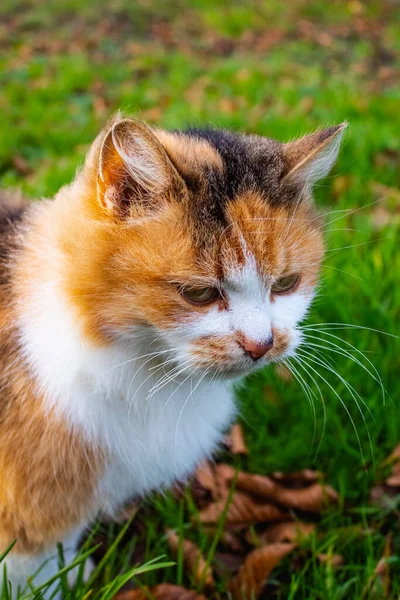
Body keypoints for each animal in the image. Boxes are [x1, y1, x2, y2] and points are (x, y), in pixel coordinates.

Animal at [0, 115, 346, 592]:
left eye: (285, 284)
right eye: (198, 294)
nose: (260, 344)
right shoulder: (31, 509)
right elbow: (33, 565)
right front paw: (58, 587)